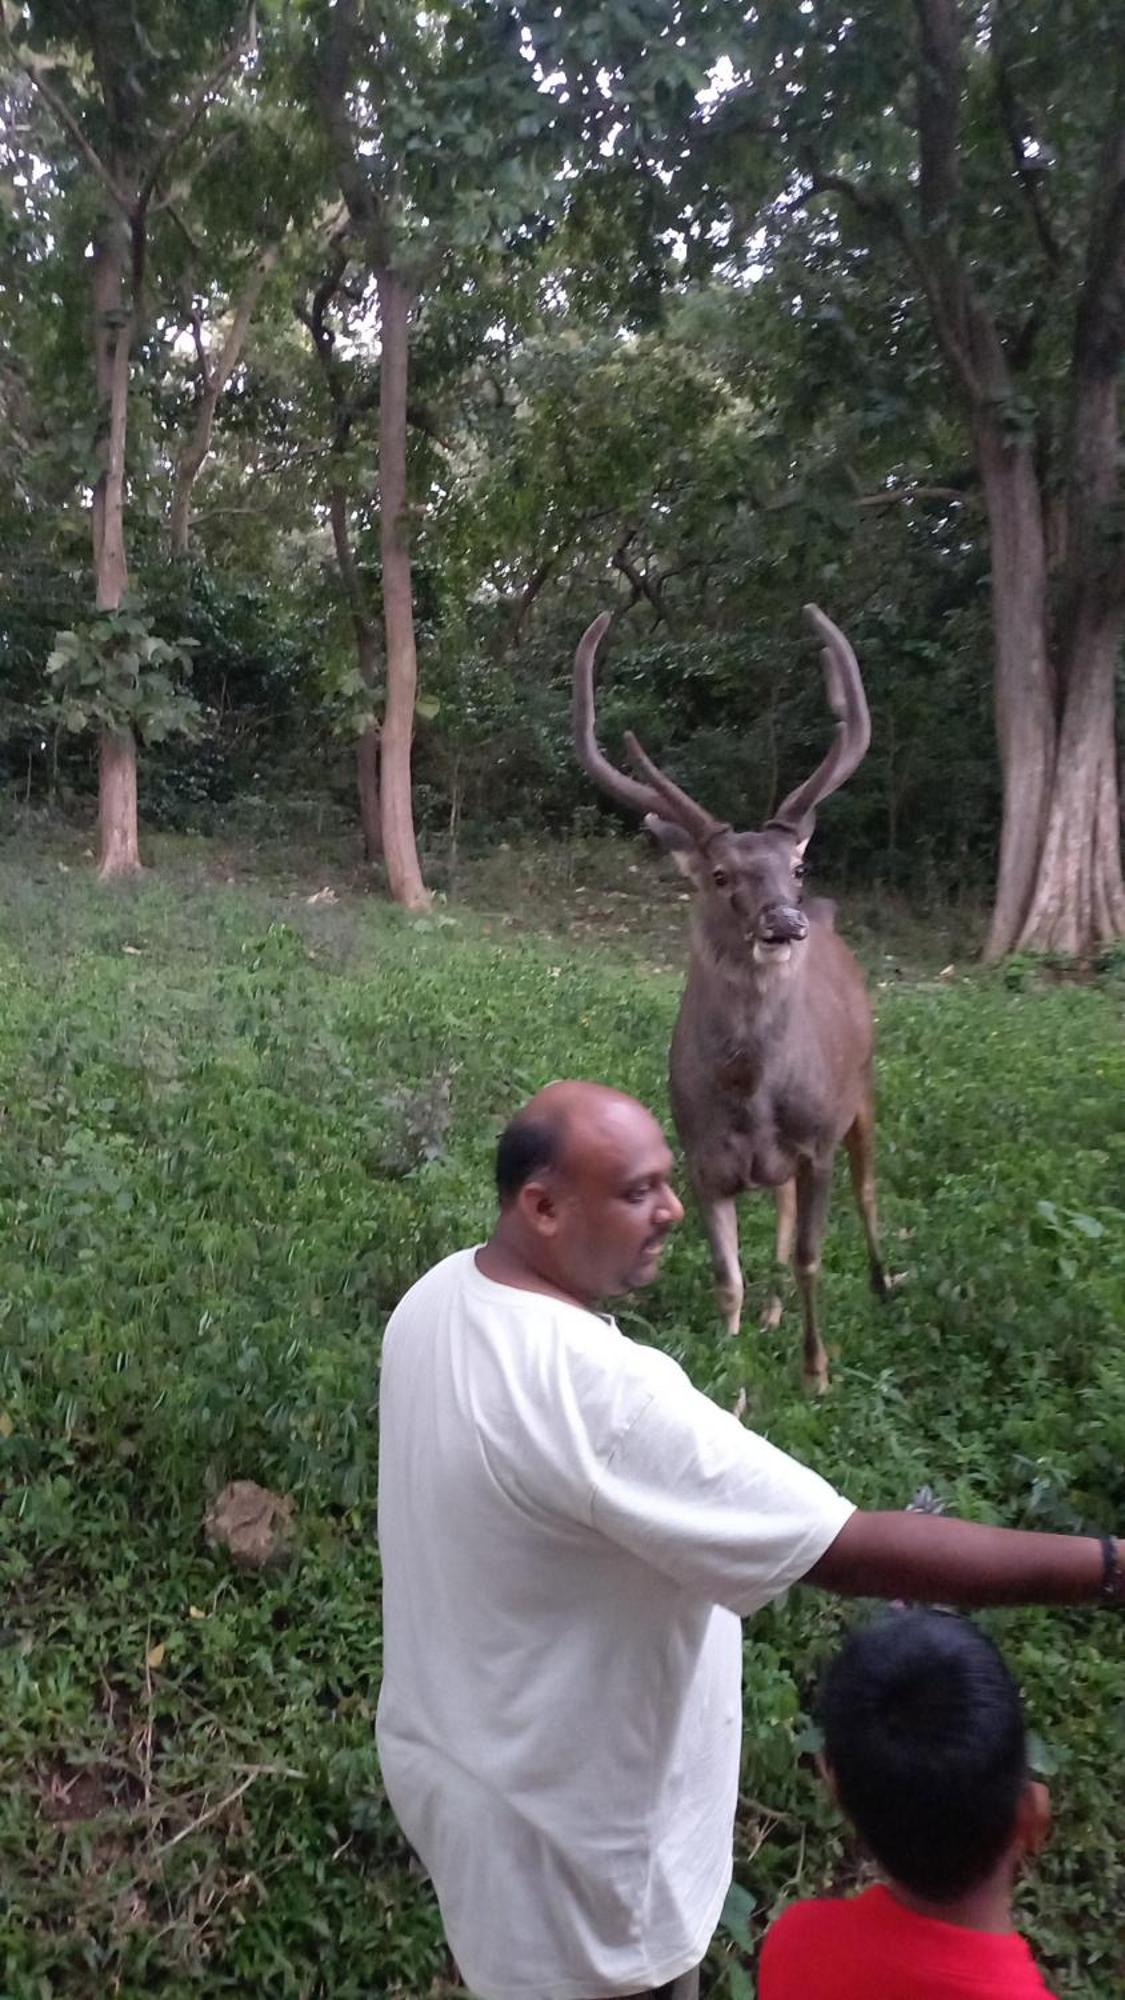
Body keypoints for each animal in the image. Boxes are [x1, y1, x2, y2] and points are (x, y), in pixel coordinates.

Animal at [572, 604, 880, 1392]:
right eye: (718, 875)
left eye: (796, 864)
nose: (785, 922)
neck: (749, 1093)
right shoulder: (699, 1152)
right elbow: (724, 1273)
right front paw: (729, 1349)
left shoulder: (816, 1140)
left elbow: (810, 1256)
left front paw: (815, 1370)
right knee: (777, 1212)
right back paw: (773, 1311)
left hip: (864, 1086)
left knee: (865, 1190)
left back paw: (882, 1282)